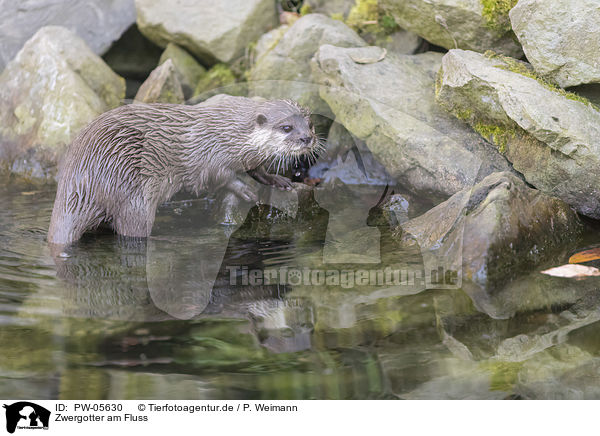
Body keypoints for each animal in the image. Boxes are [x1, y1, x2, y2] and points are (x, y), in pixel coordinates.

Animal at [47, 96, 318, 245]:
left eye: (310, 123)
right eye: (286, 127)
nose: (307, 138)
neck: (230, 135)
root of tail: (77, 184)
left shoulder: (248, 158)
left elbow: (256, 170)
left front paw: (277, 180)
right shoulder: (210, 156)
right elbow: (221, 177)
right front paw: (244, 190)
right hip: (132, 193)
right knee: (133, 231)